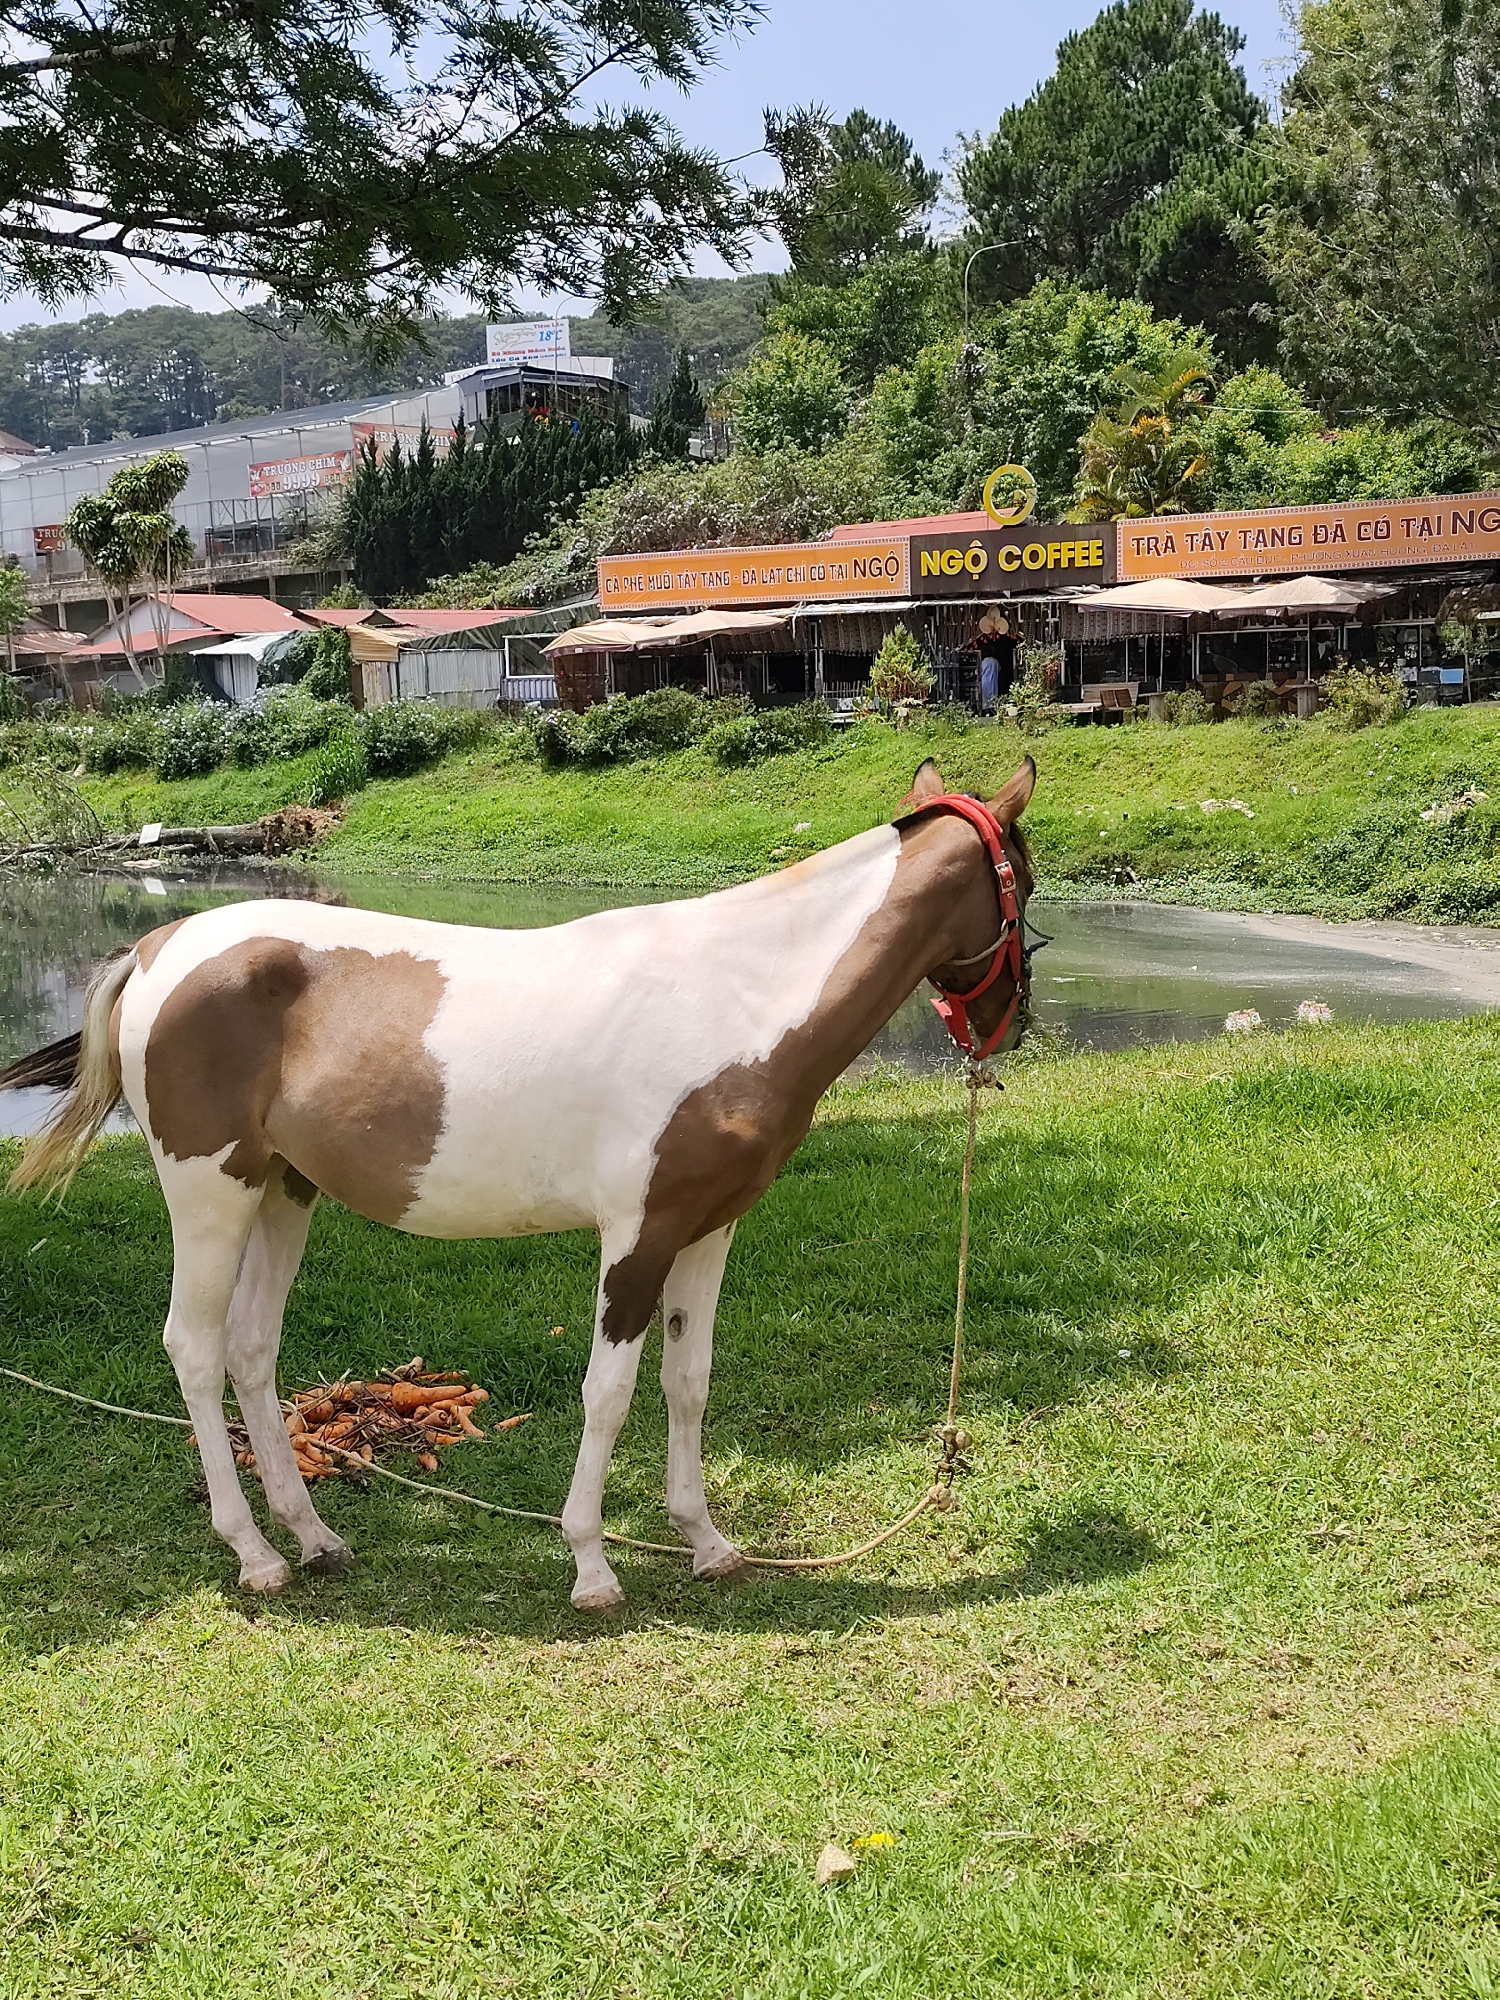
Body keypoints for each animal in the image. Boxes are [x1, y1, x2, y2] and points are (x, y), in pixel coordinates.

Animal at [3, 755, 1036, 1611]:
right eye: (1022, 885)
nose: (1012, 1024)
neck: (737, 995)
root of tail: (156, 948)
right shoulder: (638, 1236)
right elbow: (608, 1392)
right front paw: (592, 1567)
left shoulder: (707, 1230)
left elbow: (689, 1382)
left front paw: (707, 1544)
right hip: (210, 1194)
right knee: (195, 1347)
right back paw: (255, 1555)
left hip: (283, 1190)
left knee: (253, 1350)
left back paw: (316, 1539)